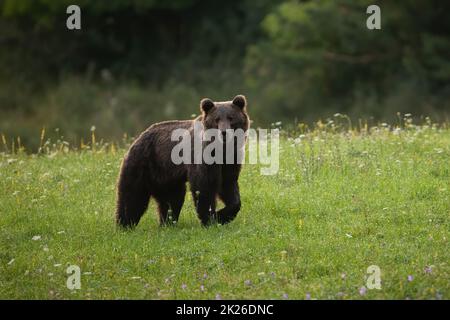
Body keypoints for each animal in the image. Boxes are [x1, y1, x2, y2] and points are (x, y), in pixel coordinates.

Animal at [115, 95, 250, 228]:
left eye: (231, 118)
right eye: (216, 119)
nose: (224, 132)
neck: (221, 150)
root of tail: (138, 138)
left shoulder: (230, 161)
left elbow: (229, 185)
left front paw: (222, 215)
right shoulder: (201, 157)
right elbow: (203, 185)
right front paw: (210, 218)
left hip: (167, 177)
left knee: (171, 199)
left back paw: (167, 222)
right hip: (142, 165)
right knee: (132, 196)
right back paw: (125, 224)